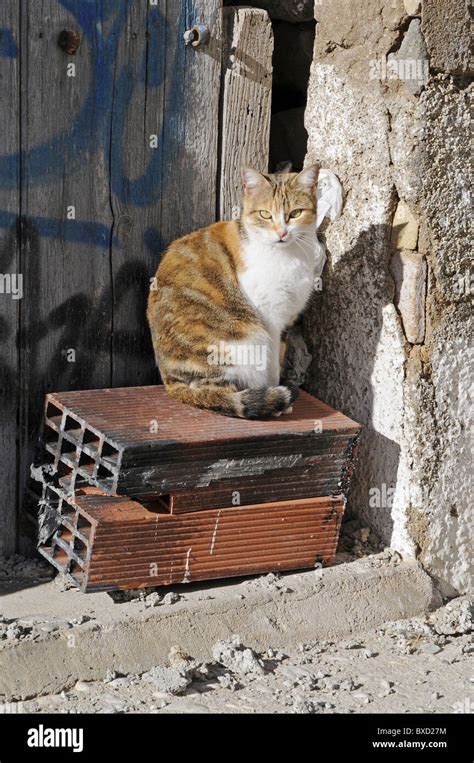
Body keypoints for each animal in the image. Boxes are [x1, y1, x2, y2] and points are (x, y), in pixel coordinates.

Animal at [146, 163, 320, 420]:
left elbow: (280, 355)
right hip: (240, 343)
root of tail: (169, 381)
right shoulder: (269, 318)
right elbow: (272, 364)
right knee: (214, 391)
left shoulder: (286, 322)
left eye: (296, 213)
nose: (282, 233)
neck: (291, 255)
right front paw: (278, 392)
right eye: (265, 214)